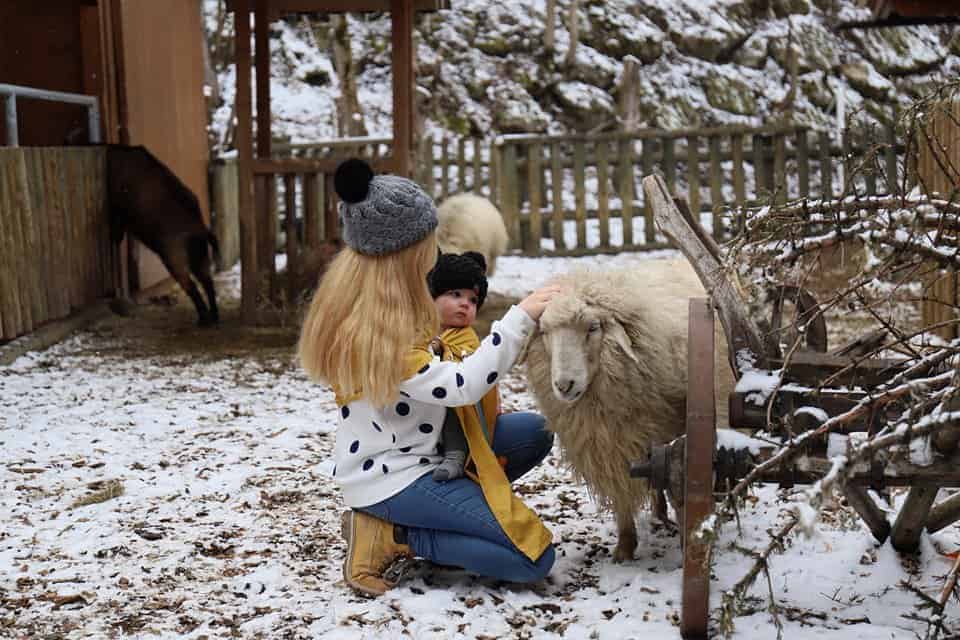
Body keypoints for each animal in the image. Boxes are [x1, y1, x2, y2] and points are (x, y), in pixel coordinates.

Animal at [107, 144, 219, 324]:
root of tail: (200, 229)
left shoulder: (119, 210)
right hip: (199, 256)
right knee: (207, 282)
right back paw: (214, 317)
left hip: (174, 258)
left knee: (191, 286)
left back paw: (203, 320)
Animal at [520, 258, 732, 564]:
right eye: (545, 332)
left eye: (593, 327)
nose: (563, 385)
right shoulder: (611, 444)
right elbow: (621, 491)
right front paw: (625, 547)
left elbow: (682, 490)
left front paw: (687, 541)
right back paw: (658, 513)